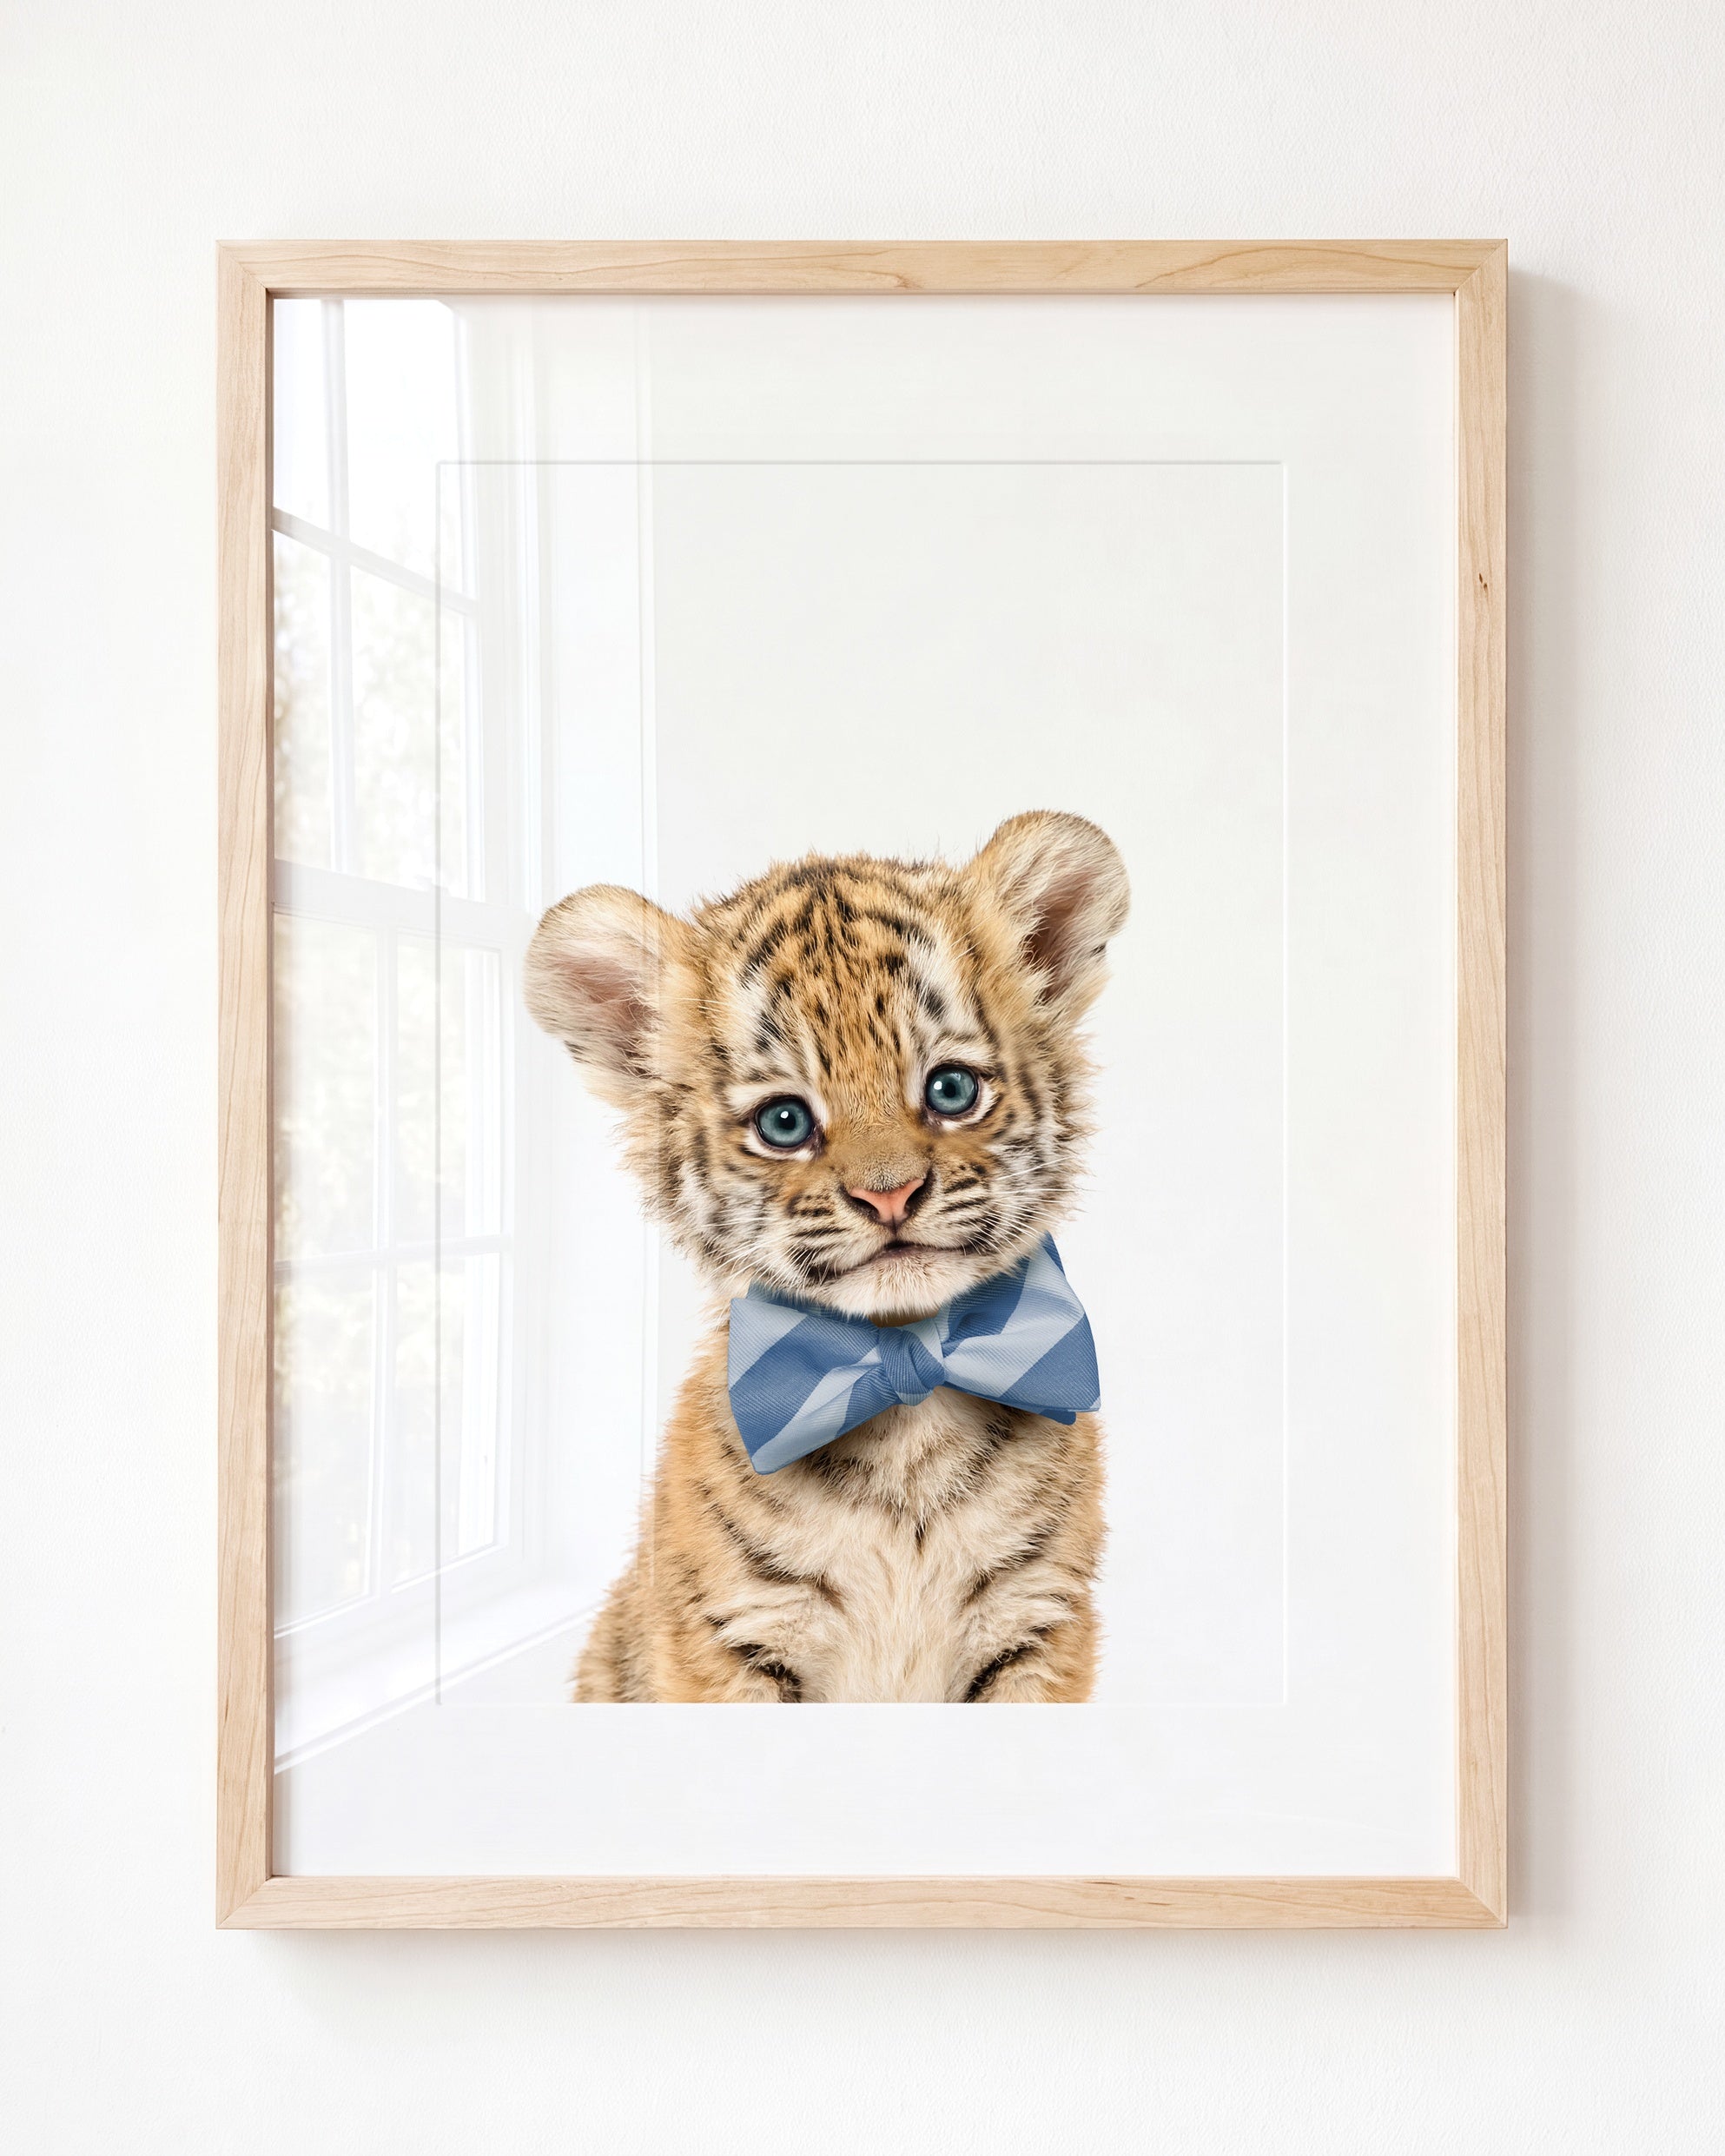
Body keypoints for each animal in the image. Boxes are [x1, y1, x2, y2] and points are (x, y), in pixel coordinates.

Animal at [523, 809, 1129, 1703]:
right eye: (784, 1122)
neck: (906, 1397)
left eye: (951, 1090)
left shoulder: (1037, 1623)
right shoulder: (731, 1639)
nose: (890, 1195)